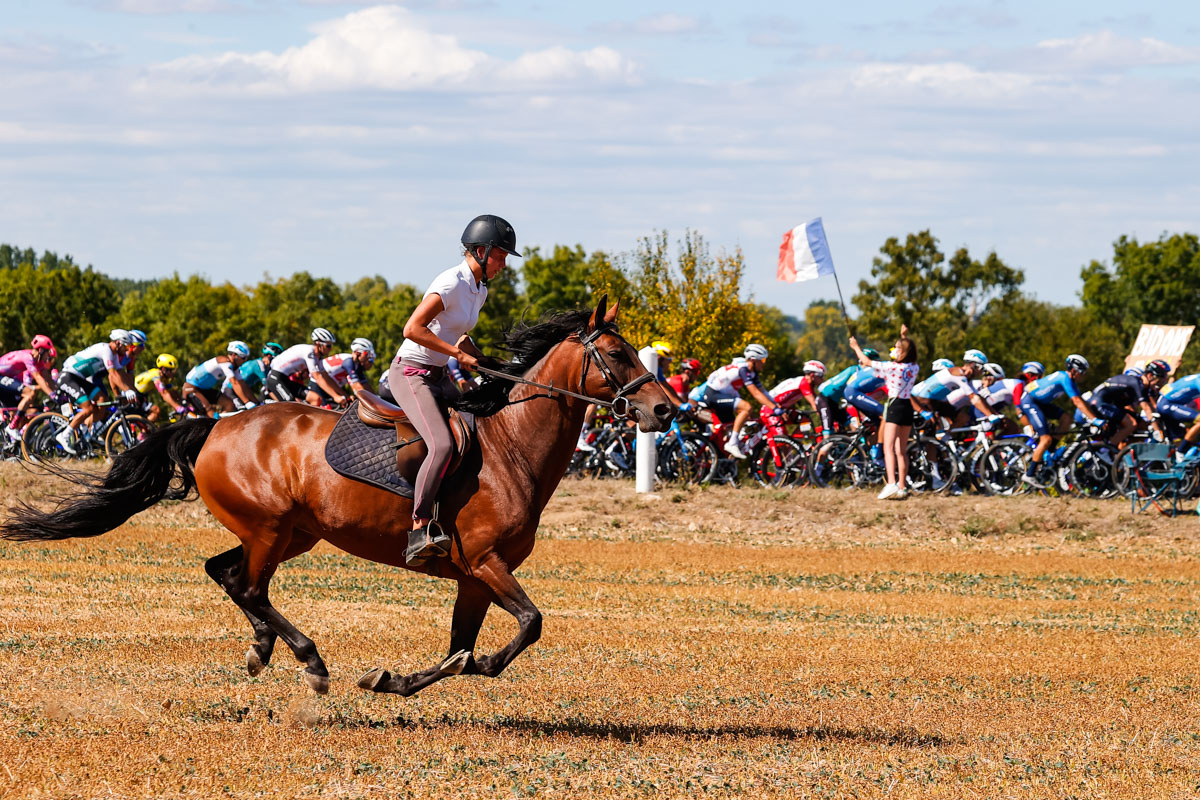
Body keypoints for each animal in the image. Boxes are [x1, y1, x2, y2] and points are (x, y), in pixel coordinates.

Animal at [0, 298, 676, 695]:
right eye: (616, 354)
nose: (666, 410)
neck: (510, 445)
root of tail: (216, 425)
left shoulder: (475, 577)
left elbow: (459, 647)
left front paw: (394, 679)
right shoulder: (485, 561)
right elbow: (527, 626)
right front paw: (471, 668)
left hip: (292, 534)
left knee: (226, 573)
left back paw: (262, 649)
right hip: (270, 528)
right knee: (247, 584)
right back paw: (309, 659)